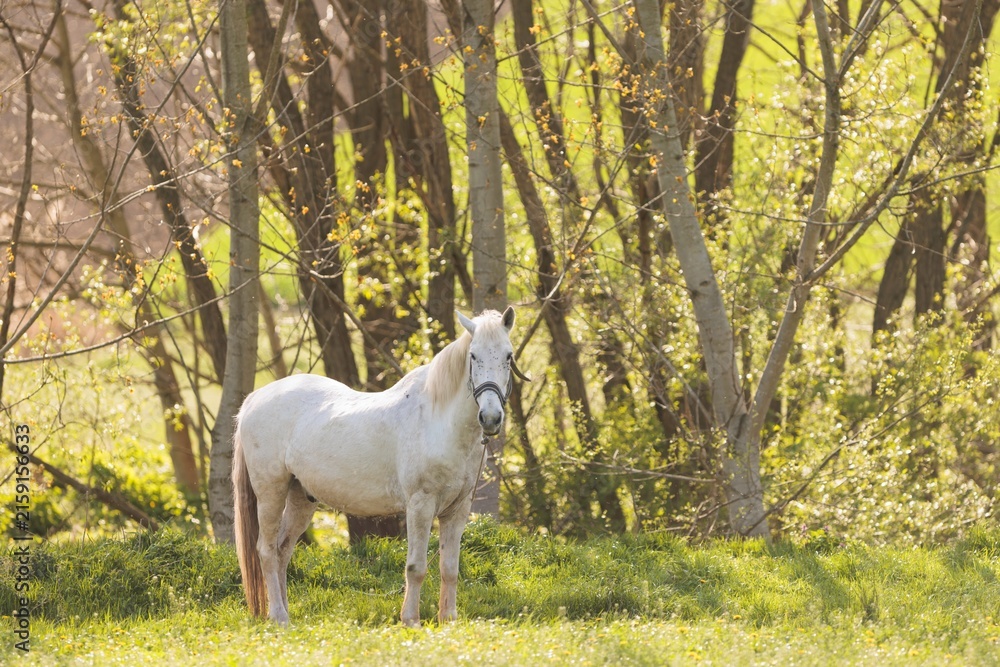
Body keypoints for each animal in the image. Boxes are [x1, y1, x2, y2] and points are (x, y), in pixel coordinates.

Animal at [232, 307, 518, 627]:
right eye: (473, 355)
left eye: (508, 356)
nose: (490, 418)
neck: (437, 419)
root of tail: (254, 399)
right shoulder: (420, 505)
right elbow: (416, 567)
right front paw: (411, 621)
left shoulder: (457, 510)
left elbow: (450, 568)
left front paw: (448, 620)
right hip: (270, 493)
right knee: (266, 551)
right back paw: (279, 617)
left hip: (301, 498)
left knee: (282, 551)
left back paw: (285, 613)